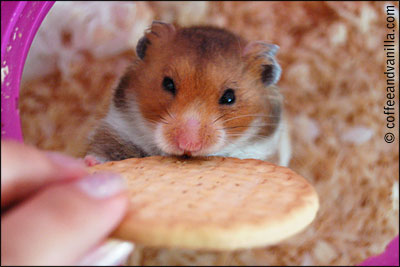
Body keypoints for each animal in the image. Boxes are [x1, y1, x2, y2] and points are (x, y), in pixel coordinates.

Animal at [85, 21, 290, 165]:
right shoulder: (119, 129)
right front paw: (89, 163)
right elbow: (105, 151)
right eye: (168, 84)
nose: (188, 145)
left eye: (229, 97)